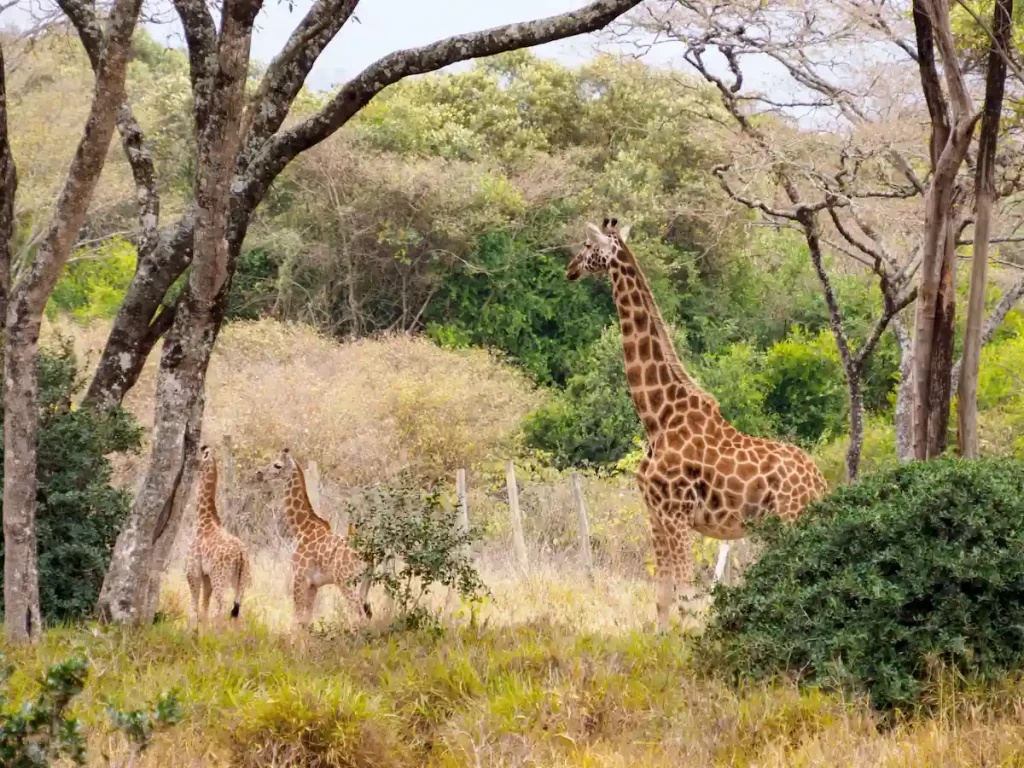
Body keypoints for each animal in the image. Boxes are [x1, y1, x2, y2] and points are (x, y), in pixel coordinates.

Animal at [185, 444, 251, 629]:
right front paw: (201, 632)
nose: (189, 465)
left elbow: (194, 608)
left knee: (220, 608)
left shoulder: (194, 571)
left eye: (197, 456)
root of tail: (241, 554)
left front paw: (192, 632)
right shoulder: (207, 575)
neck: (204, 521)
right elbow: (204, 608)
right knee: (237, 610)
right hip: (240, 579)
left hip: (220, 576)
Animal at [262, 448, 370, 630]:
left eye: (277, 465)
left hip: (346, 581)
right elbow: (306, 620)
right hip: (363, 585)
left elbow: (298, 618)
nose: (260, 474)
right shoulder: (313, 585)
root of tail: (371, 559)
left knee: (359, 616)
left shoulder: (299, 577)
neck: (302, 529)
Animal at [566, 217, 829, 632]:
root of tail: (821, 484)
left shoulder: (676, 514)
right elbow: (662, 595)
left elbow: (686, 593)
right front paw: (663, 641)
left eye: (587, 245)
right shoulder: (656, 514)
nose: (570, 269)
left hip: (793, 520)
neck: (657, 417)